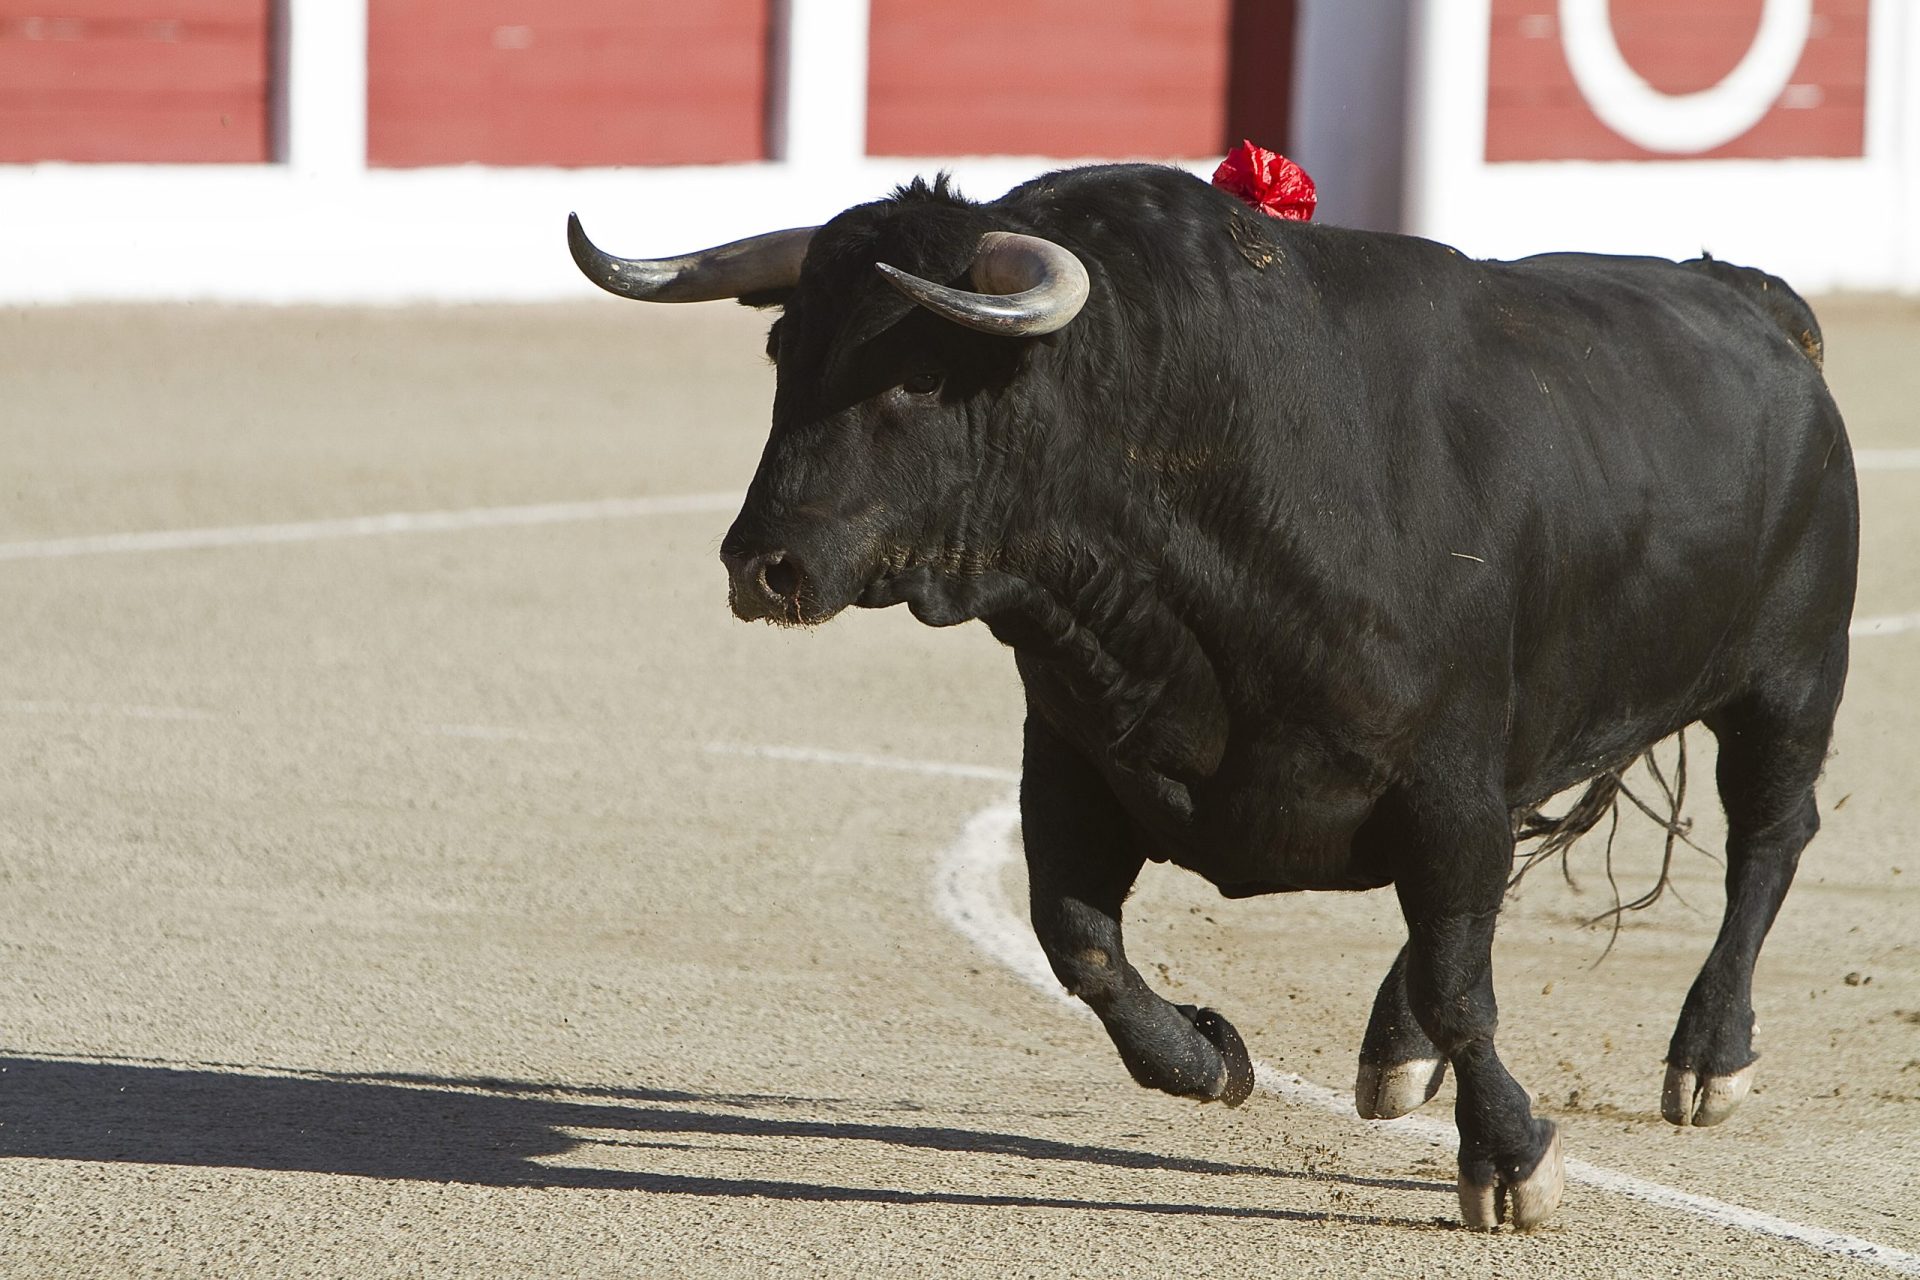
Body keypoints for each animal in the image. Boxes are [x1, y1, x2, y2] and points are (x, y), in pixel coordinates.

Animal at [572, 163, 1858, 1228]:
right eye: (786, 351)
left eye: (922, 373)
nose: (764, 566)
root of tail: (1750, 298)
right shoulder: (1074, 754)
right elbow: (1080, 943)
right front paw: (1214, 1057)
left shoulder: (1445, 778)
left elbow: (1463, 982)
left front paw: (1510, 1162)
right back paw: (1394, 1052)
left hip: (1790, 681)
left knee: (1768, 839)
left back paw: (1708, 1057)